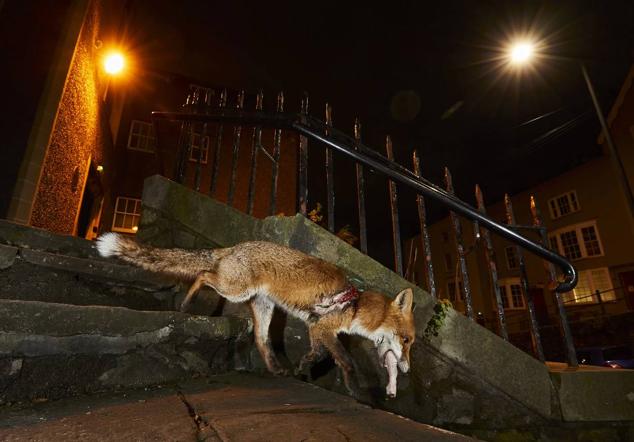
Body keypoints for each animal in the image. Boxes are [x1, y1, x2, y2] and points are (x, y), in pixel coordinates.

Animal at [96, 235, 414, 398]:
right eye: (408, 340)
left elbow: (319, 354)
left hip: (263, 308)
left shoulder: (315, 328)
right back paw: (186, 303)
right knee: (203, 274)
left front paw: (303, 367)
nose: (407, 369)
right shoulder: (325, 328)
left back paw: (275, 368)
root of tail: (233, 247)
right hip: (235, 290)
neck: (354, 306)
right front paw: (353, 389)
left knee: (262, 341)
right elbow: (346, 361)